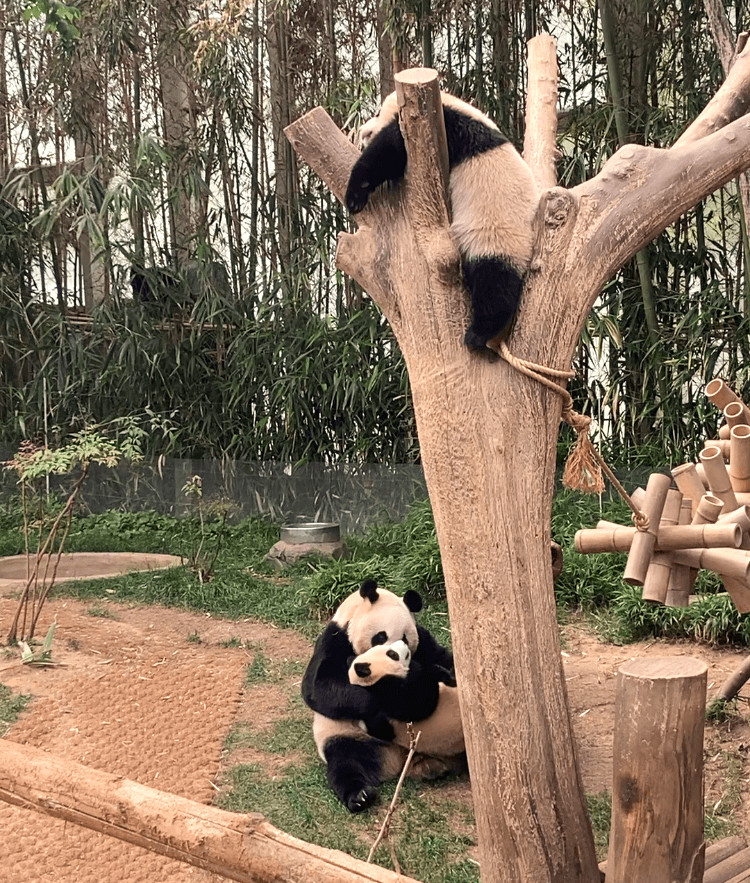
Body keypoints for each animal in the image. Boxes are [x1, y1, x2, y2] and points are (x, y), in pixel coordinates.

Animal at [302, 580, 462, 816]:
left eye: (405, 638)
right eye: (381, 636)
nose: (400, 654)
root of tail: (400, 760)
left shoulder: (424, 641)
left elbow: (442, 659)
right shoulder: (334, 640)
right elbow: (318, 687)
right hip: (346, 735)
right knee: (345, 762)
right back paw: (360, 796)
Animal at [346, 88, 540, 350]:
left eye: (377, 113)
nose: (364, 131)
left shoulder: (441, 128)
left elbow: (389, 152)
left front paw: (355, 196)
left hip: (500, 235)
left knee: (495, 280)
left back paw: (477, 334)